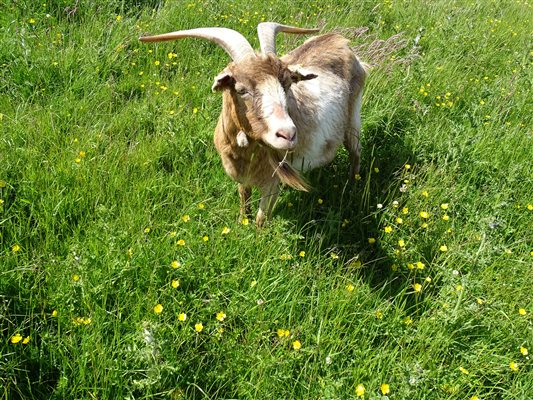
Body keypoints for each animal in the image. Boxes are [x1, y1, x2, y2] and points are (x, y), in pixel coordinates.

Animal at [139, 23, 368, 227]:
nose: (288, 134)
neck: (246, 152)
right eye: (241, 89)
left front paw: (257, 236)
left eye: (287, 84)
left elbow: (261, 218)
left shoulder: (273, 181)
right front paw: (242, 222)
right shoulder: (241, 177)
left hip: (353, 119)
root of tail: (340, 41)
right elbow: (244, 198)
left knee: (356, 152)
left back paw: (353, 185)